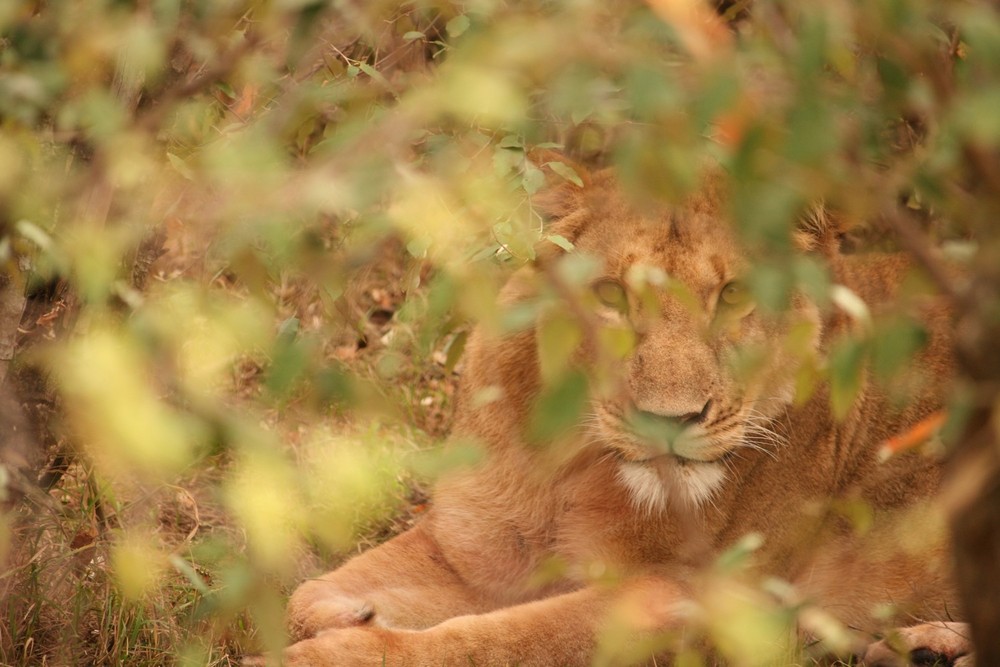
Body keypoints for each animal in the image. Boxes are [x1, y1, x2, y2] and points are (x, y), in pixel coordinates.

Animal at [282, 164, 968, 664]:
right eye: (610, 294)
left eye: (734, 296)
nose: (670, 419)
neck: (572, 463)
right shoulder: (464, 550)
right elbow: (304, 591)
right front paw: (344, 612)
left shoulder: (701, 595)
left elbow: (501, 639)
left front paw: (332, 654)